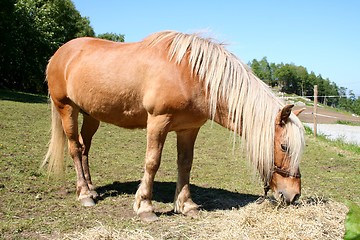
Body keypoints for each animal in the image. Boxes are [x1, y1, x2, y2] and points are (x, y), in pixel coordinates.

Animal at [43, 31, 306, 222]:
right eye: (284, 146)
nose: (293, 195)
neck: (192, 74)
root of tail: (60, 53)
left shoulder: (188, 129)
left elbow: (185, 164)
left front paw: (186, 205)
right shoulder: (158, 122)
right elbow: (152, 163)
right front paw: (145, 207)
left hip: (91, 115)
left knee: (85, 148)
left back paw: (92, 188)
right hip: (66, 108)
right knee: (75, 148)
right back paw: (85, 194)